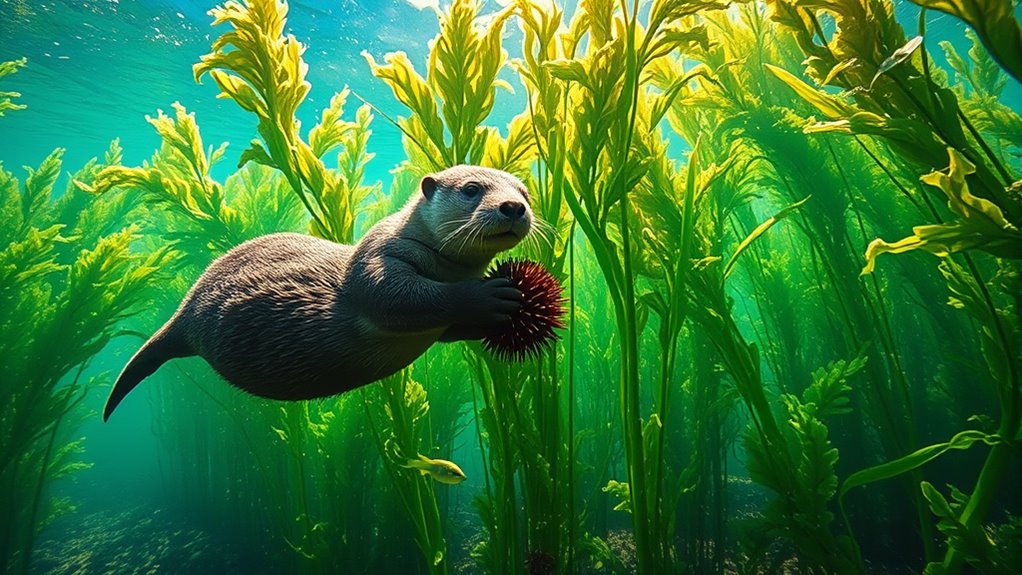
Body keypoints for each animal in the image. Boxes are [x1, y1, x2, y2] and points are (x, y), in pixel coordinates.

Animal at [103, 165, 532, 421]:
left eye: (525, 191)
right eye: (472, 189)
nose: (513, 206)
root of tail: (186, 308)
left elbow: (446, 329)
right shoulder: (376, 256)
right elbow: (396, 298)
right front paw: (487, 296)